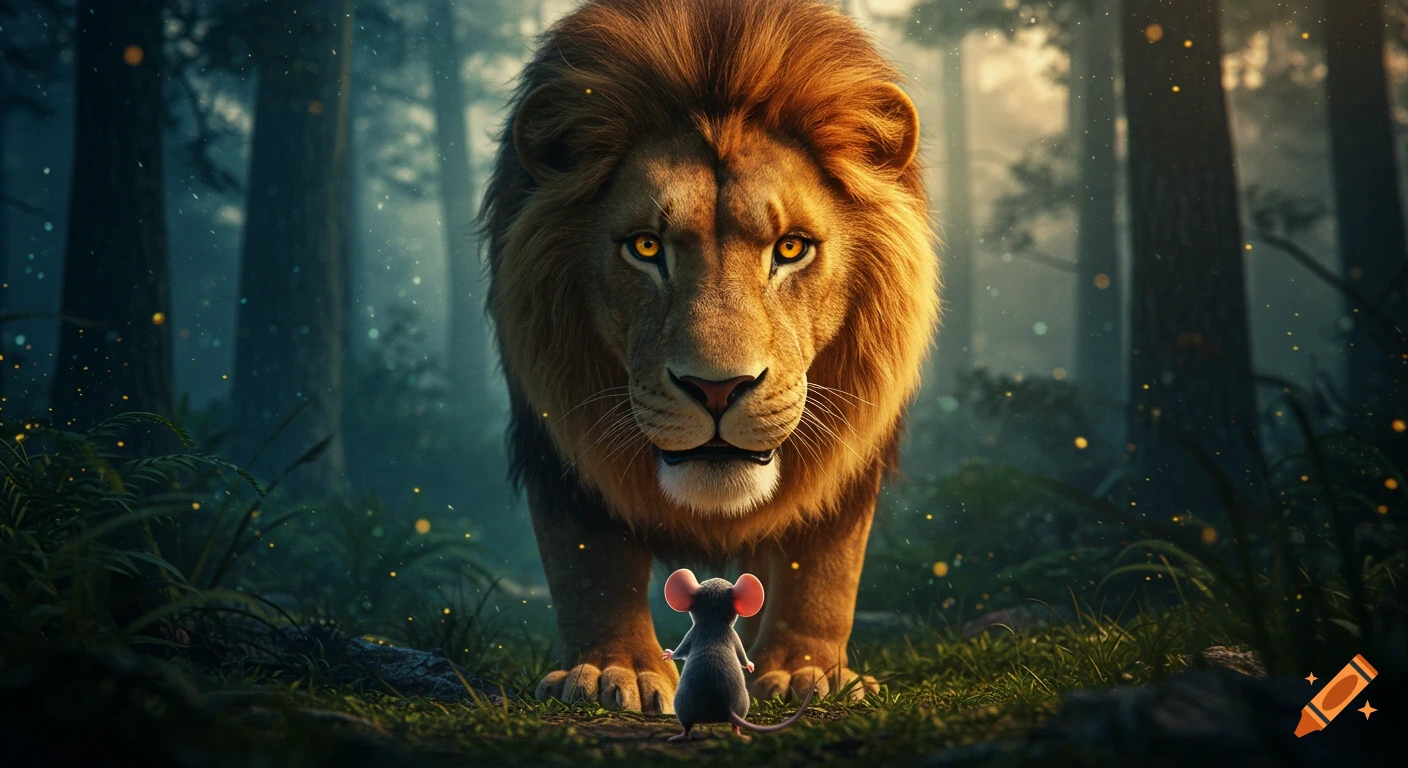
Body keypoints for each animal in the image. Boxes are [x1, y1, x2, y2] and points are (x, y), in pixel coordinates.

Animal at [482, 0, 938, 713]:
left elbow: (827, 563)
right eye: (646, 247)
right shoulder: (557, 435)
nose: (717, 389)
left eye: (790, 248)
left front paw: (806, 672)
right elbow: (587, 560)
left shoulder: (849, 449)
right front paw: (612, 670)